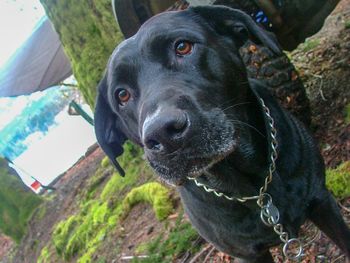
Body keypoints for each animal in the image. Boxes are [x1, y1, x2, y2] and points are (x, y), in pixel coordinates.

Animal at [95, 5, 350, 262]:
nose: (162, 134)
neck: (256, 189)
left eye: (182, 46)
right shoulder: (249, 254)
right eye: (122, 95)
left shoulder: (321, 201)